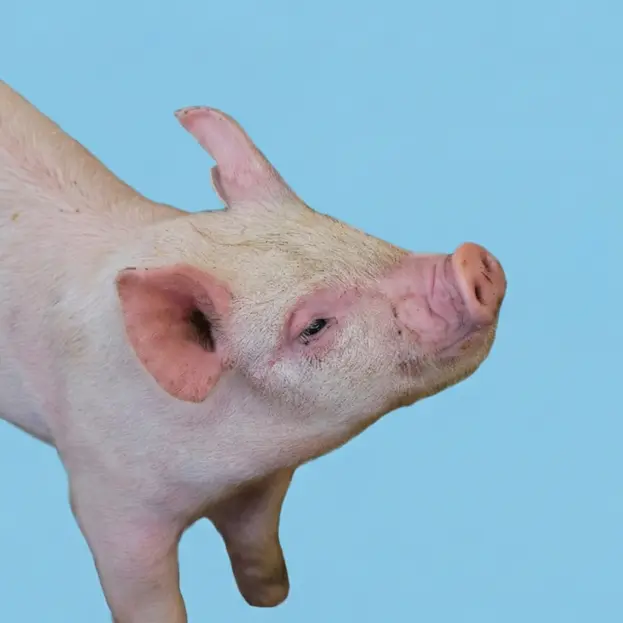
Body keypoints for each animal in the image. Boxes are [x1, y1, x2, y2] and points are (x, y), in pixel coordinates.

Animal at [0, 78, 507, 623]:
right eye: (313, 327)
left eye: (357, 235)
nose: (470, 259)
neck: (221, 473)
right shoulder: (105, 495)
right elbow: (145, 594)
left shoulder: (265, 482)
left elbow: (255, 541)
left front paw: (271, 599)